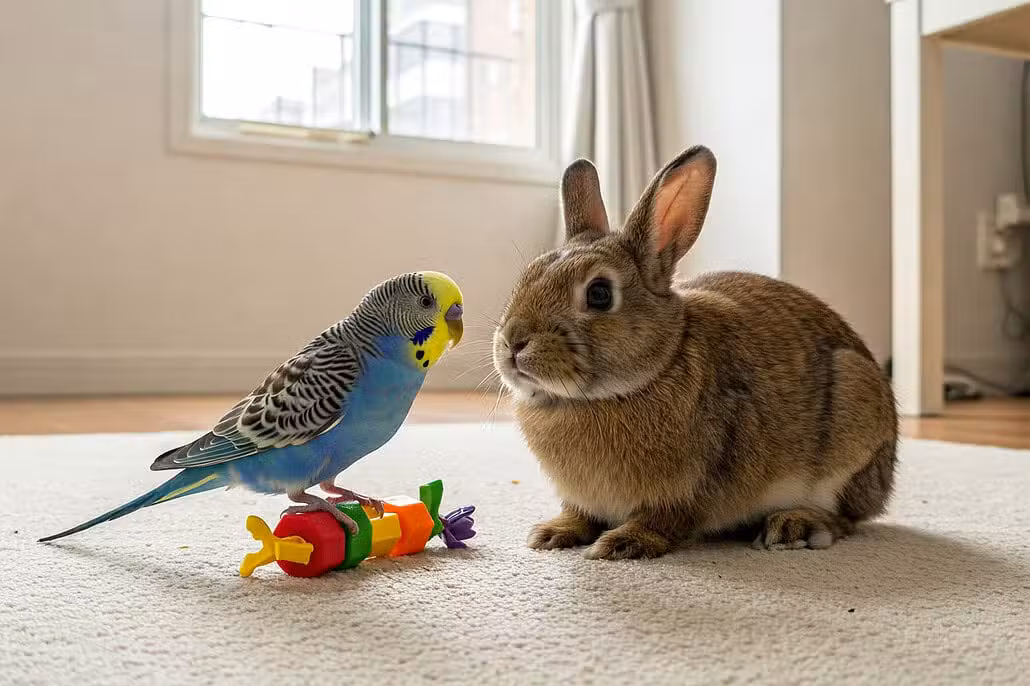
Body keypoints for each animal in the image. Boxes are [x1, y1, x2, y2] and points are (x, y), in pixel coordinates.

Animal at [492, 145, 898, 560]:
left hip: (853, 423)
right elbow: (579, 513)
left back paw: (794, 526)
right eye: (528, 274)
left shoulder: (690, 489)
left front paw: (622, 544)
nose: (513, 342)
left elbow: (664, 519)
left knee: (846, 518)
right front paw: (552, 533)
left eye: (600, 294)